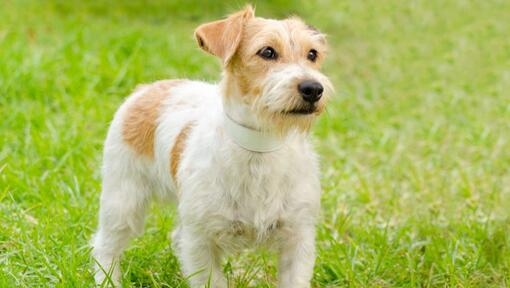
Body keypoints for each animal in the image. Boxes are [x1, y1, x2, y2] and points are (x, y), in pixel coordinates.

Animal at [92, 5, 332, 288]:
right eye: (267, 52)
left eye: (312, 54)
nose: (313, 88)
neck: (259, 148)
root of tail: (147, 89)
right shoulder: (200, 243)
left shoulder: (298, 239)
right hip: (122, 199)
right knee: (105, 245)